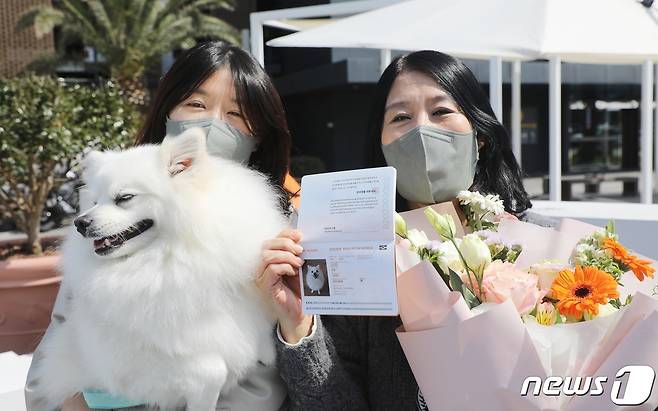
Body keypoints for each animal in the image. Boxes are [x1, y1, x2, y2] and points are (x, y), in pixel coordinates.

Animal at [28, 130, 284, 411]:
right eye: (94, 202)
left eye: (124, 198)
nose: (79, 222)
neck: (168, 258)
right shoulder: (121, 361)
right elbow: (213, 369)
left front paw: (267, 352)